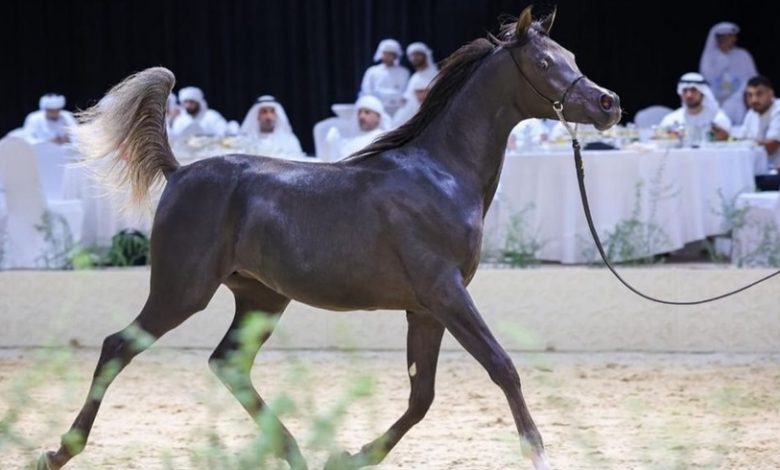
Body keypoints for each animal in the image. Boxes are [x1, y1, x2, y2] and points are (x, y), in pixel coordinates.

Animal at [38, 7, 620, 470]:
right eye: (543, 63)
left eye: (569, 54)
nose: (608, 103)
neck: (439, 174)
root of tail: (180, 173)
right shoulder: (446, 293)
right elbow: (502, 368)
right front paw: (538, 455)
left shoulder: (425, 309)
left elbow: (422, 396)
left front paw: (351, 455)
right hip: (182, 290)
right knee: (119, 346)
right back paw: (58, 451)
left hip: (260, 298)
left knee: (228, 363)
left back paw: (296, 453)